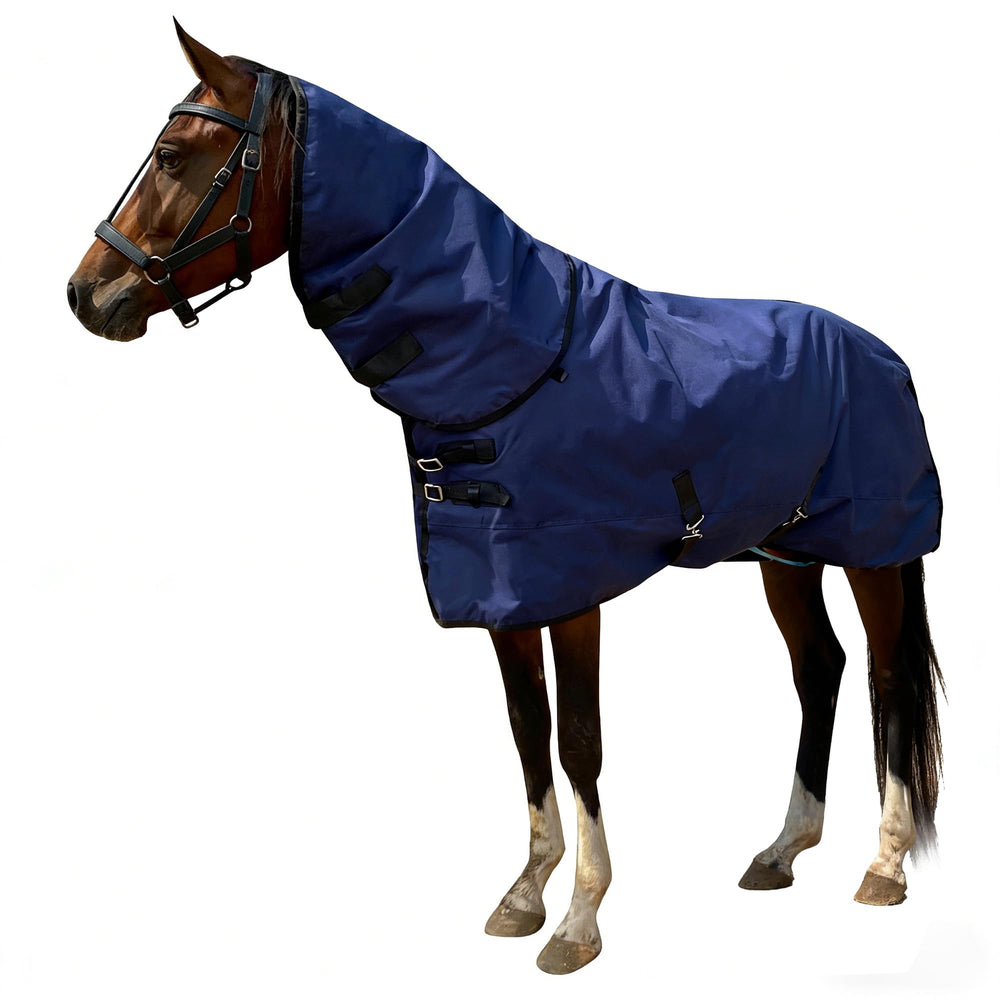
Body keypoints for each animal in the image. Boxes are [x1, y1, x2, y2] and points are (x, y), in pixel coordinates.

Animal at [67, 21, 944, 975]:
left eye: (173, 155)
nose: (86, 295)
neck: (518, 355)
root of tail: (882, 353)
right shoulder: (504, 594)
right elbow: (528, 733)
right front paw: (526, 893)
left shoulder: (571, 588)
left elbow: (578, 741)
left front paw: (580, 921)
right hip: (784, 555)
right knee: (819, 668)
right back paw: (781, 850)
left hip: (876, 552)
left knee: (890, 680)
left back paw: (884, 866)